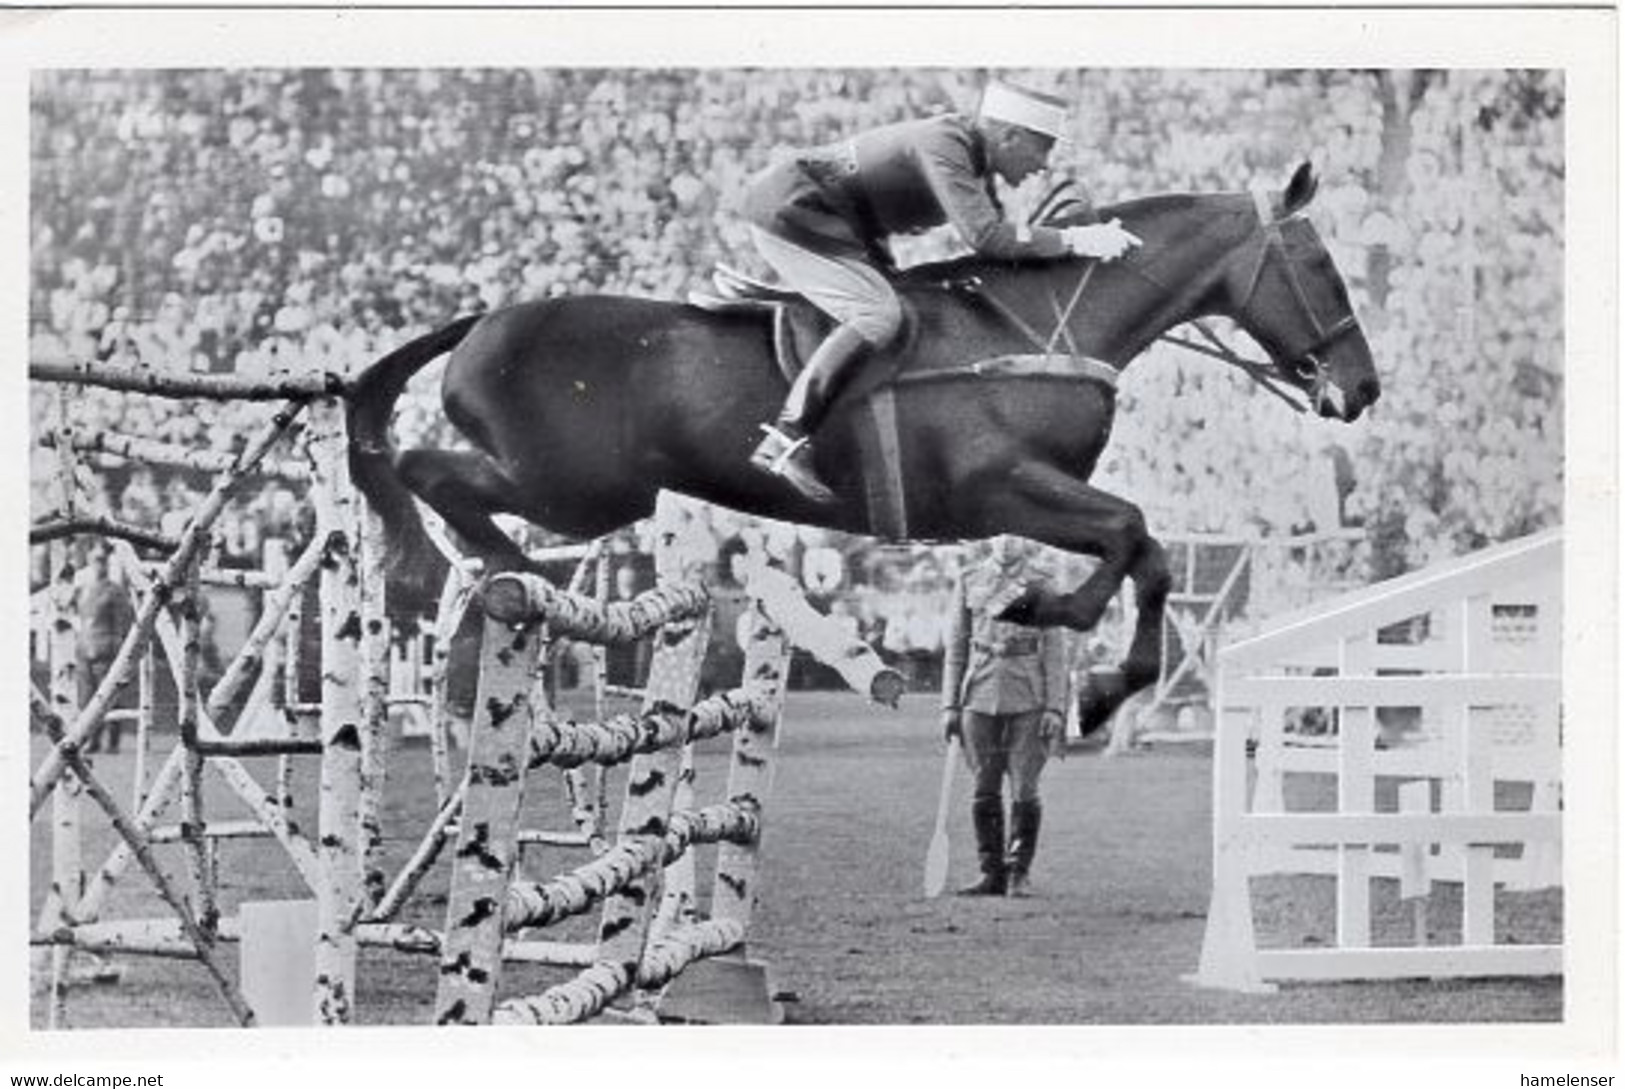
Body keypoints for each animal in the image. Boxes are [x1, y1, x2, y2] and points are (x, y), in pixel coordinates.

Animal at [349, 166, 1378, 728]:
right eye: (1320, 265)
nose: (1360, 388)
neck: (1044, 322)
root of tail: (483, 319)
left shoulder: (1031, 497)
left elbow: (1150, 553)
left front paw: (1094, 681)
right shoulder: (1000, 487)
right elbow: (1130, 535)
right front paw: (1054, 622)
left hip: (590, 493)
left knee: (427, 474)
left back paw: (488, 570)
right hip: (580, 490)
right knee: (419, 468)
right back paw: (494, 566)